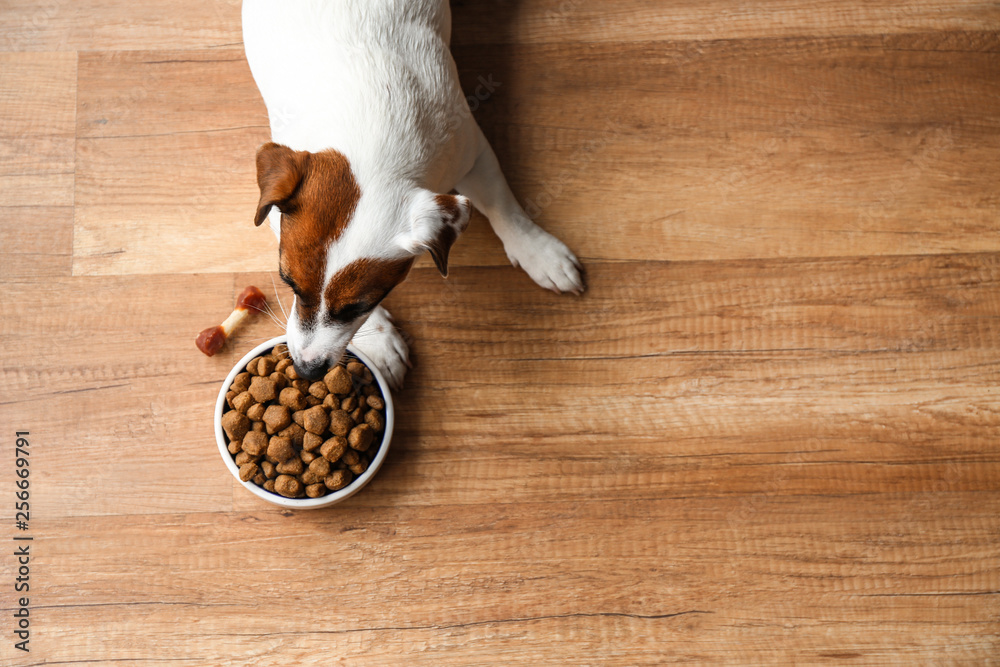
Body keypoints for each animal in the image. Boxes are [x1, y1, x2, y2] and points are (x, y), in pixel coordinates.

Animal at [244, 0, 584, 388]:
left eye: (359, 306)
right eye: (289, 284)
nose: (306, 370)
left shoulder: (471, 152)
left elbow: (502, 207)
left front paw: (537, 252)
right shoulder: (273, 215)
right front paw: (379, 340)